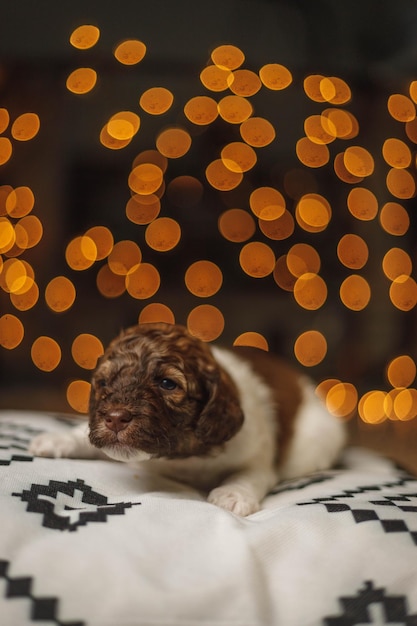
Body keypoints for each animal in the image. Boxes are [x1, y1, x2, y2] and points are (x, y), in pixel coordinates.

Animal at [30, 322, 344, 512]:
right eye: (104, 383)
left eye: (167, 384)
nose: (115, 418)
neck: (180, 458)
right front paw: (58, 440)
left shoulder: (257, 455)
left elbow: (248, 474)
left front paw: (232, 495)